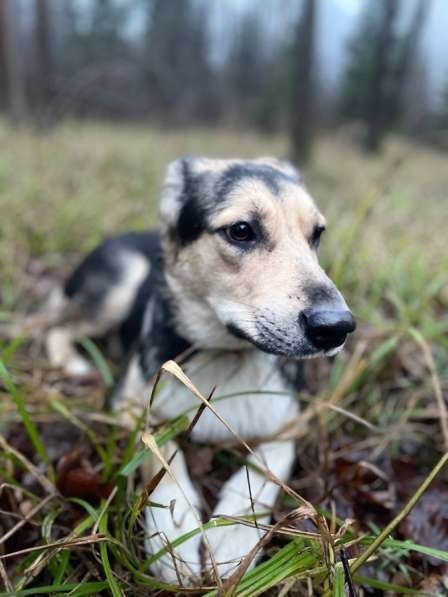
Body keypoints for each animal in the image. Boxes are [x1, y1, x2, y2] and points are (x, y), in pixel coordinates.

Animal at [40, 155, 356, 584]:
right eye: (241, 230)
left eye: (317, 234)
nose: (336, 326)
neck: (227, 352)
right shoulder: (128, 405)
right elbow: (161, 450)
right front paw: (175, 535)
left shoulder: (290, 426)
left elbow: (266, 466)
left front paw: (237, 534)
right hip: (118, 288)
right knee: (57, 327)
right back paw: (71, 362)